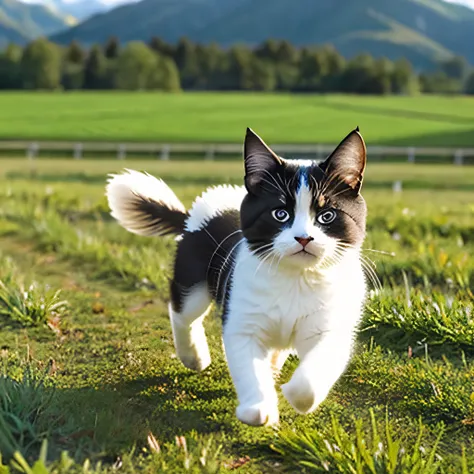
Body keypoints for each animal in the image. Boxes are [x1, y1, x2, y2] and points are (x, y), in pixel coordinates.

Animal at [105, 128, 368, 428]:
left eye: (327, 215)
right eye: (280, 214)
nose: (303, 238)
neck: (295, 278)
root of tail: (192, 217)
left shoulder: (331, 323)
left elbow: (314, 374)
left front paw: (292, 392)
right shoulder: (242, 320)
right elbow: (249, 367)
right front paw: (257, 408)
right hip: (192, 279)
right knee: (182, 312)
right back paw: (194, 356)